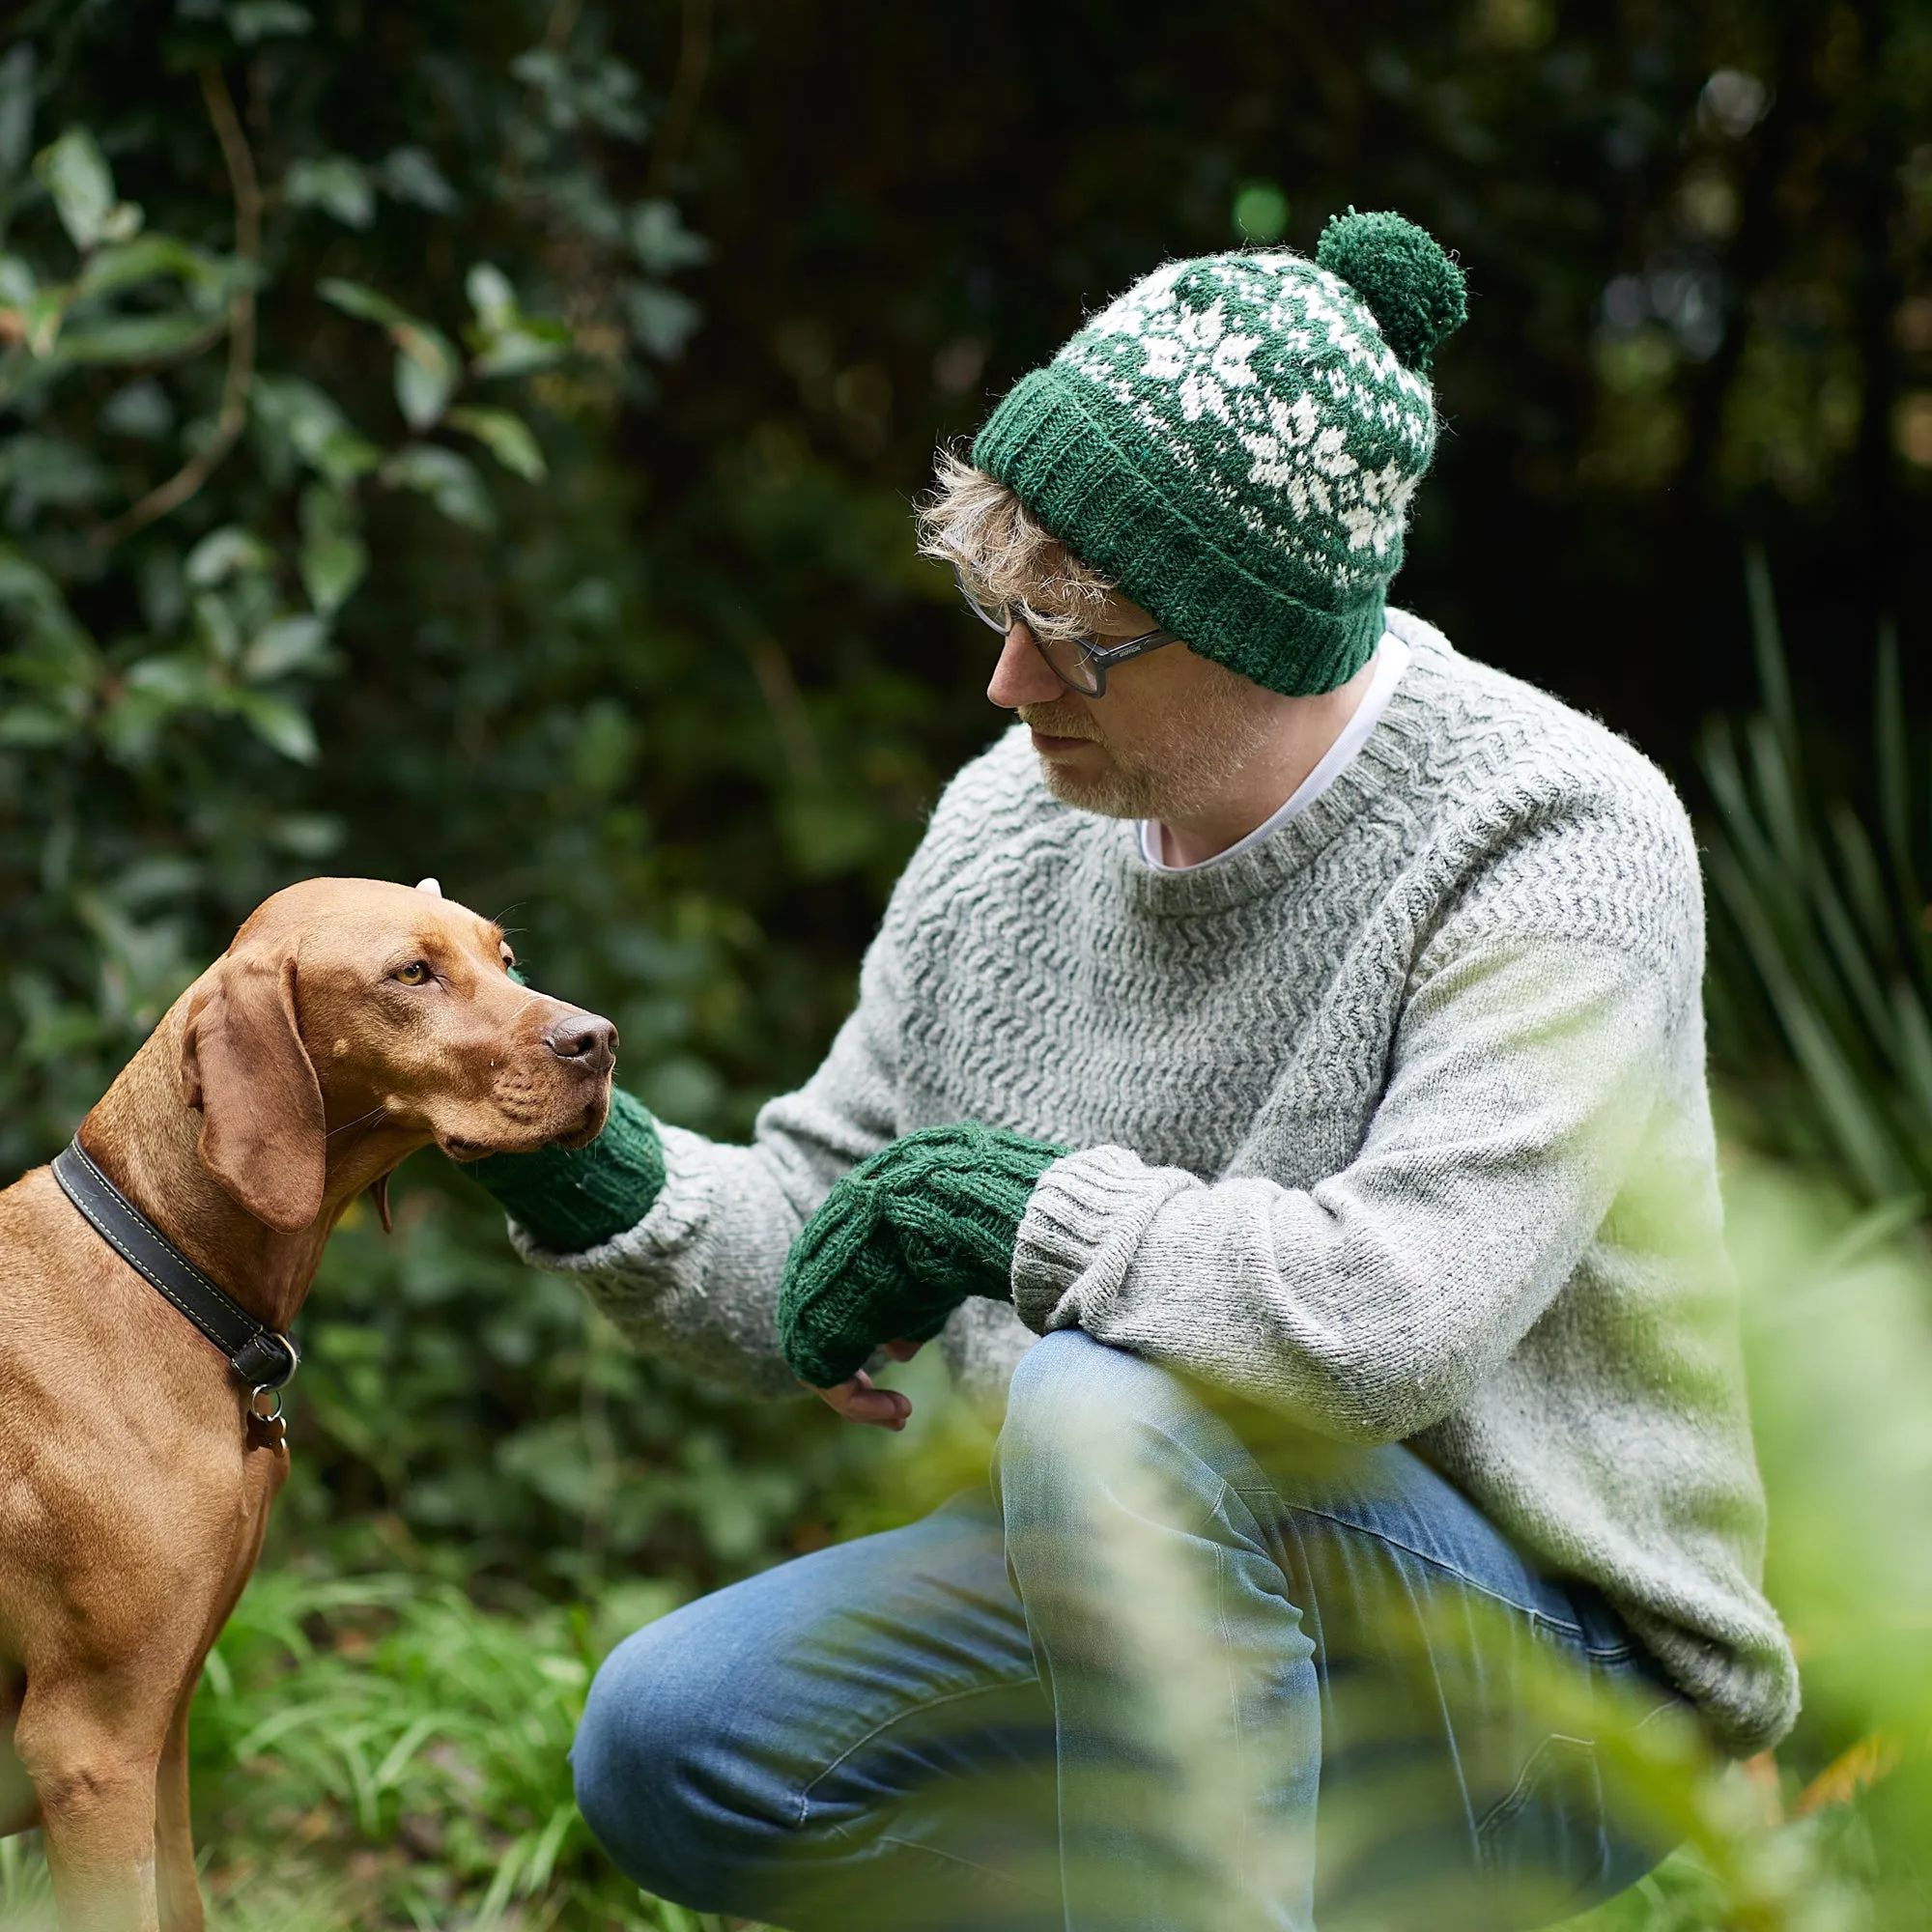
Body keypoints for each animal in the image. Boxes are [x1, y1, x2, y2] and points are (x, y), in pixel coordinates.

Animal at [0, 881, 614, 1932]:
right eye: (411, 972)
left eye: (503, 957)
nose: (602, 1039)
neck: (157, 1265)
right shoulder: (90, 1747)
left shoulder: (165, 1724)